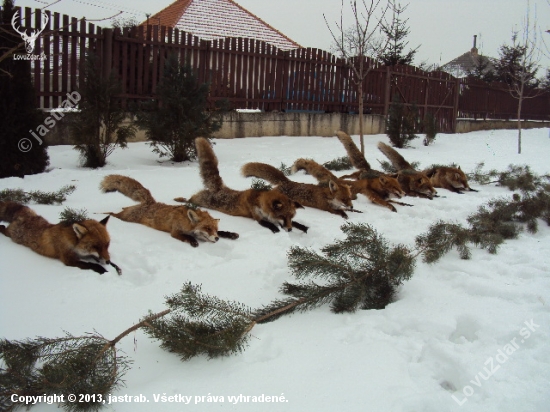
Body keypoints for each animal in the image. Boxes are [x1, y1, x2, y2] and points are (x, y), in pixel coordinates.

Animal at [101, 175, 239, 248]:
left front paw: (230, 234)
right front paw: (193, 241)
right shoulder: (175, 232)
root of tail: (151, 202)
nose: (216, 239)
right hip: (126, 217)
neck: (187, 223)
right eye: (207, 228)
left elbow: (223, 232)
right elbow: (187, 236)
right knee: (113, 214)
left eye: (214, 229)